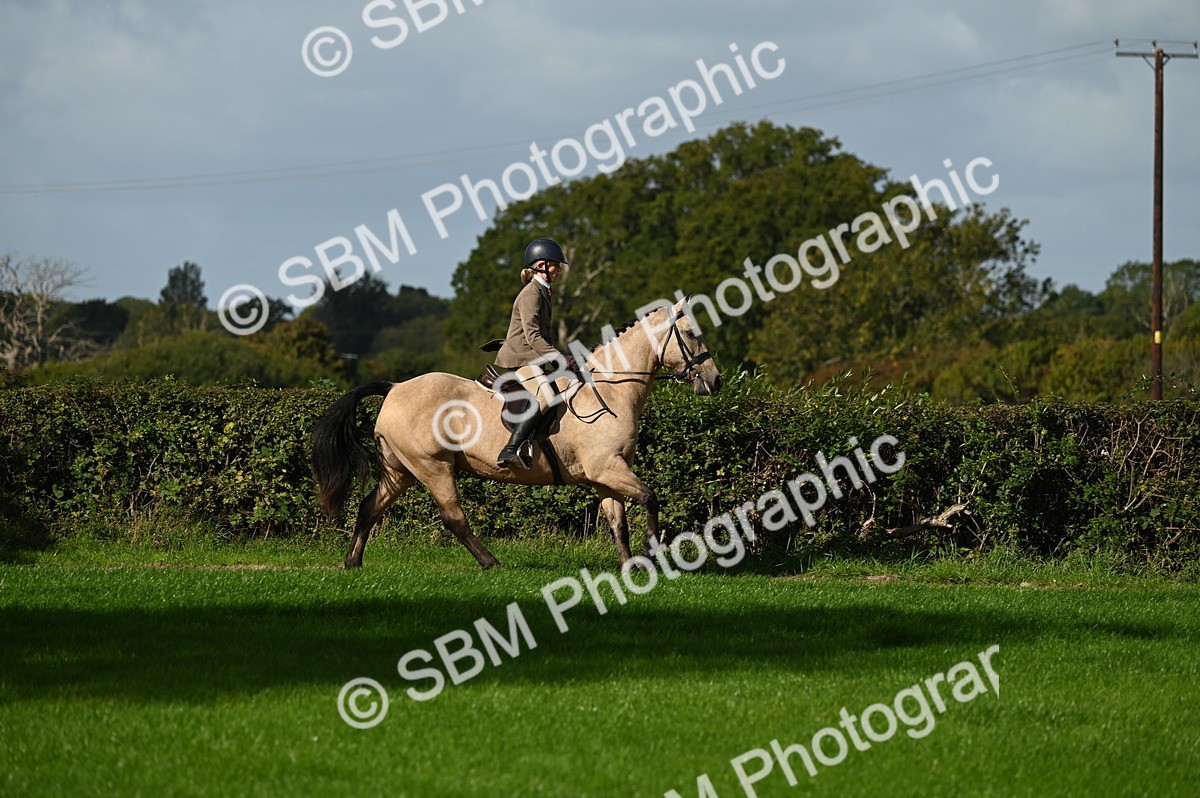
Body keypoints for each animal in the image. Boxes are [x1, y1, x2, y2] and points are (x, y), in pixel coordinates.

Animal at [310, 297, 722, 569]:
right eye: (690, 333)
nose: (715, 381)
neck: (610, 389)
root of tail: (395, 387)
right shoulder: (607, 468)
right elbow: (650, 499)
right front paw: (654, 553)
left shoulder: (605, 474)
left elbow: (617, 521)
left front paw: (630, 566)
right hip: (433, 467)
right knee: (453, 517)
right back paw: (491, 562)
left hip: (401, 470)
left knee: (369, 507)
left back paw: (353, 562)